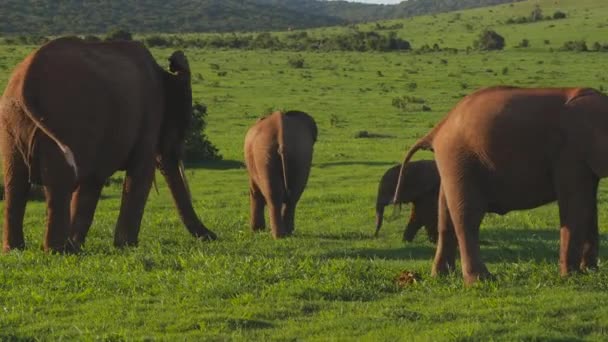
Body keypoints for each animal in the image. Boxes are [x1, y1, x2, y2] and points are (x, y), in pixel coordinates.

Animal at [0, 37, 217, 252]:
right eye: (182, 125)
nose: (213, 236)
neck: (164, 74)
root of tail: (24, 84)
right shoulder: (149, 115)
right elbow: (141, 173)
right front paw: (126, 246)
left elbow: (93, 181)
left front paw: (77, 245)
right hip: (63, 121)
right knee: (58, 182)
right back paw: (57, 251)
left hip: (12, 121)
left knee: (15, 182)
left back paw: (17, 249)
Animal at [243, 111, 318, 239]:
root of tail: (280, 132)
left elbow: (254, 191)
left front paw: (256, 230)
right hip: (298, 154)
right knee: (293, 196)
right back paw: (286, 233)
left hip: (264, 155)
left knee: (274, 196)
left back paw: (278, 236)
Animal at [396, 86, 608, 286]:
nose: (586, 270)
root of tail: (438, 129)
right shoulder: (570, 151)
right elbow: (576, 206)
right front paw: (572, 276)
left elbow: (588, 205)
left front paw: (590, 271)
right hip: (461, 159)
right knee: (468, 217)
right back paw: (480, 280)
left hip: (453, 164)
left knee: (445, 216)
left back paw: (441, 276)